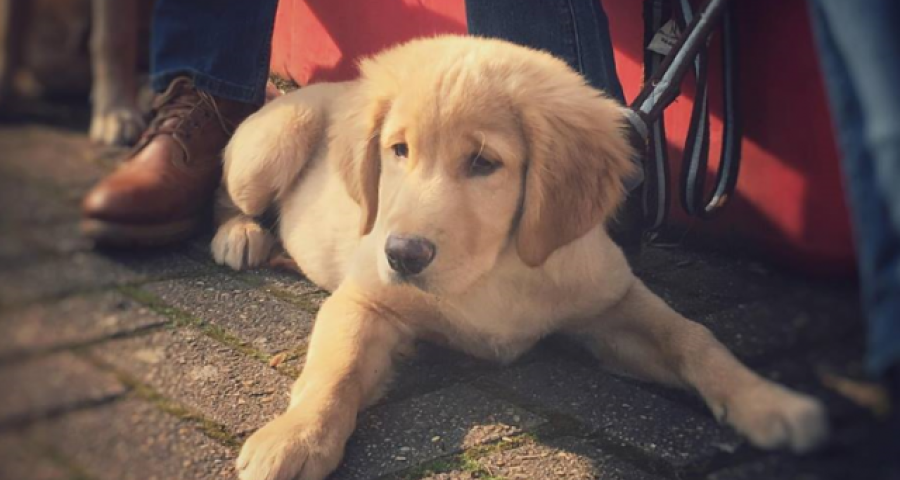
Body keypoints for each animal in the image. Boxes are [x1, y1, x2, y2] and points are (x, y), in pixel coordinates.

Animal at [211, 36, 828, 480]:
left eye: (484, 163)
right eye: (399, 151)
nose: (402, 255)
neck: (495, 269)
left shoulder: (614, 302)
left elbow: (694, 336)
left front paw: (767, 401)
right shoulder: (366, 299)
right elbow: (333, 371)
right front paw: (295, 436)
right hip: (271, 143)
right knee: (226, 187)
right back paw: (239, 234)